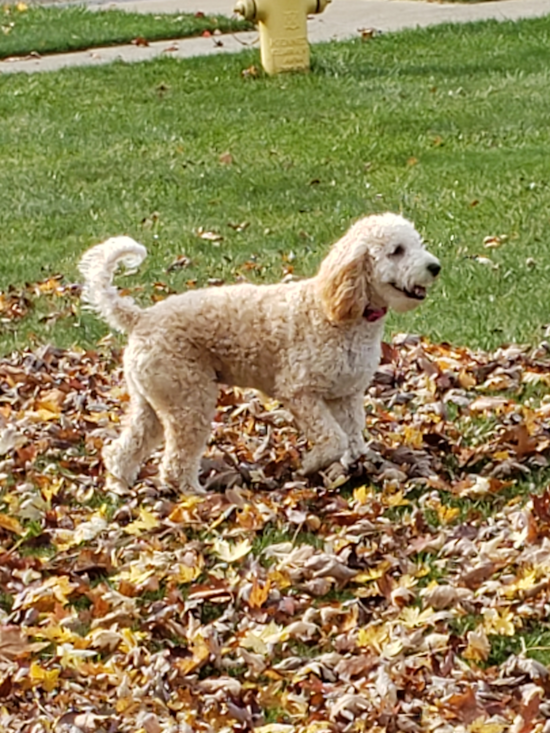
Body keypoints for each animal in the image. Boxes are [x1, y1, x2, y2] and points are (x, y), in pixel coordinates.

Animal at [80, 214, 442, 494]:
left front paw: (354, 470)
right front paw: (312, 464)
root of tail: (140, 318)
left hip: (155, 401)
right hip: (190, 401)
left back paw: (119, 485)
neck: (340, 312)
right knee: (175, 463)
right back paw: (196, 495)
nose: (435, 267)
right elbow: (332, 439)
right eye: (396, 251)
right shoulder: (300, 392)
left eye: (417, 243)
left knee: (123, 448)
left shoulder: (346, 396)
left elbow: (353, 440)